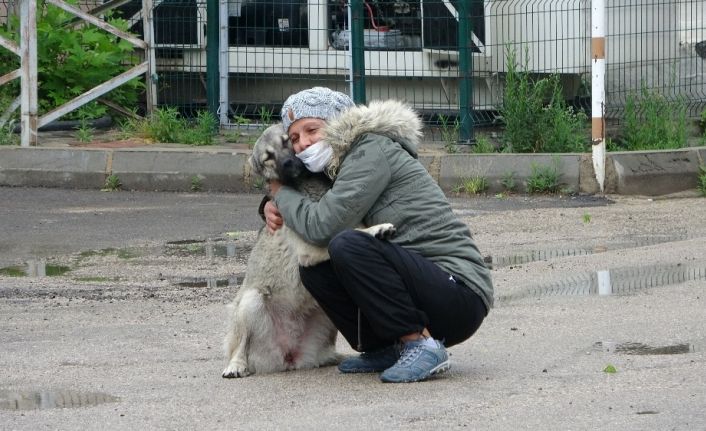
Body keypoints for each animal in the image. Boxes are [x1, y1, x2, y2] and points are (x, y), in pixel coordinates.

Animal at [222, 124, 395, 378]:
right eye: (268, 157)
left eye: (287, 141)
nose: (287, 163)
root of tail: (288, 358)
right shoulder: (308, 249)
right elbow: (349, 232)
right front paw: (378, 229)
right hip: (251, 301)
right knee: (240, 345)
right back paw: (236, 365)